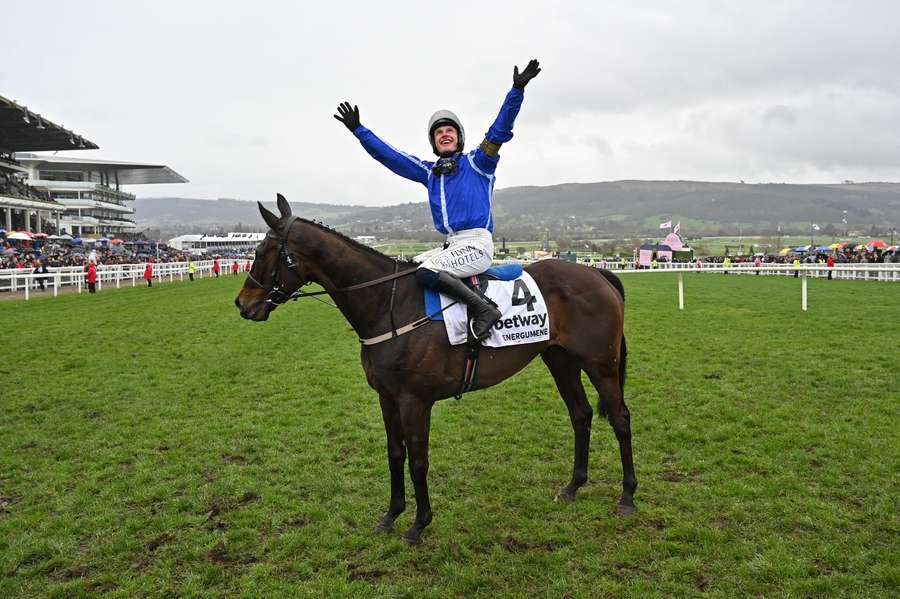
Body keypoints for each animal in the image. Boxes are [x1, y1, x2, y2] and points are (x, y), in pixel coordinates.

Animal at [236, 196, 636, 544]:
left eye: (261, 252)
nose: (243, 304)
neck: (390, 304)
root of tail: (598, 273)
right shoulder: (387, 398)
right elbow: (395, 454)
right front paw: (391, 515)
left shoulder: (415, 401)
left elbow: (418, 461)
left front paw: (418, 524)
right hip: (560, 360)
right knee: (581, 415)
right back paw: (573, 486)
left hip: (601, 364)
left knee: (620, 418)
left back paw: (628, 495)